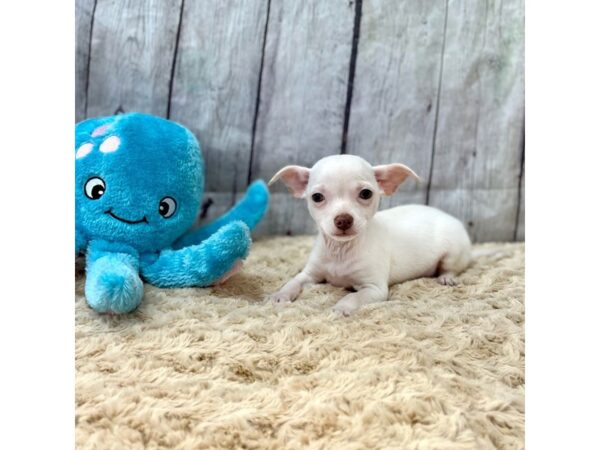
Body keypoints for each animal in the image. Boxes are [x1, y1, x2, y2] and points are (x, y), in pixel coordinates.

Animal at [268, 155, 474, 316]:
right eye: (317, 197)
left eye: (366, 193)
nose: (343, 219)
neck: (341, 250)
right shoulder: (310, 274)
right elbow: (294, 281)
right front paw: (279, 295)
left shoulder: (374, 288)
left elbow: (354, 296)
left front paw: (341, 307)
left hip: (453, 254)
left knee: (451, 268)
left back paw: (447, 277)